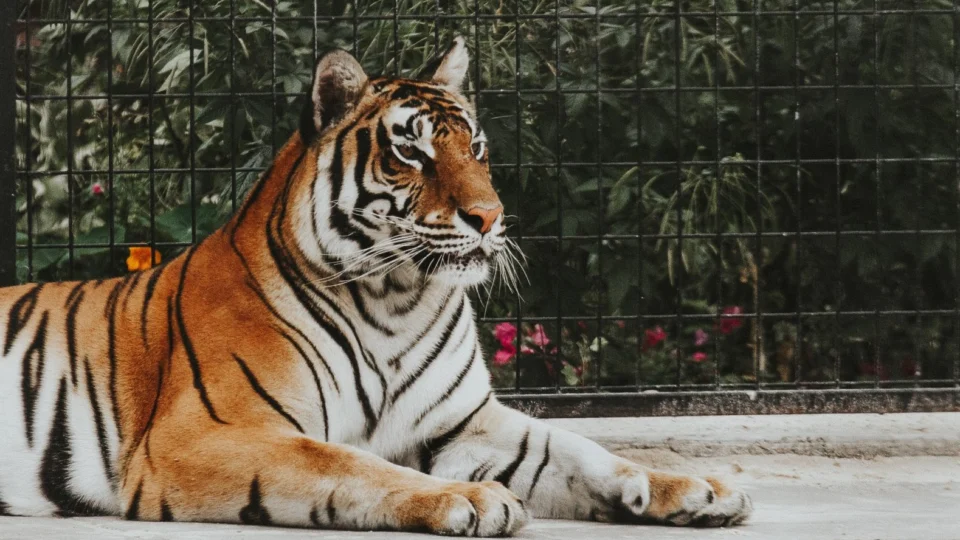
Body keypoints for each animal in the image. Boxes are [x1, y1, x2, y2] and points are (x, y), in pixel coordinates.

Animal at [0, 38, 752, 535]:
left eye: (476, 148)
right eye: (411, 152)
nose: (490, 217)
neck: (397, 300)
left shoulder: (463, 422)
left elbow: (577, 449)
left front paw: (697, 487)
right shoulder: (206, 434)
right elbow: (346, 462)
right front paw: (471, 499)